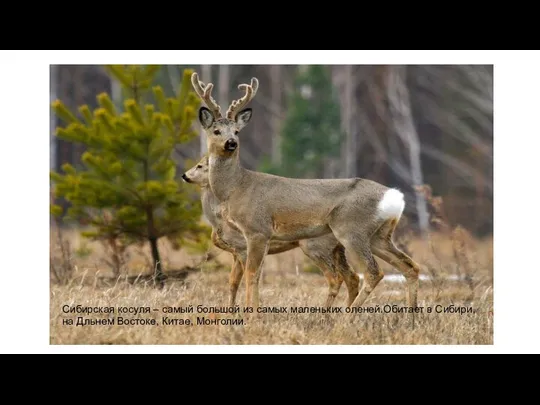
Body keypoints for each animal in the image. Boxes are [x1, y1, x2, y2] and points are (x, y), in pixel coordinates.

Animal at [184, 155, 360, 306]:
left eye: (200, 166)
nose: (184, 175)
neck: (218, 221)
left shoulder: (242, 247)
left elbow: (246, 279)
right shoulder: (235, 252)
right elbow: (233, 282)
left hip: (316, 246)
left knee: (337, 278)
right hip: (337, 249)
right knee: (353, 278)